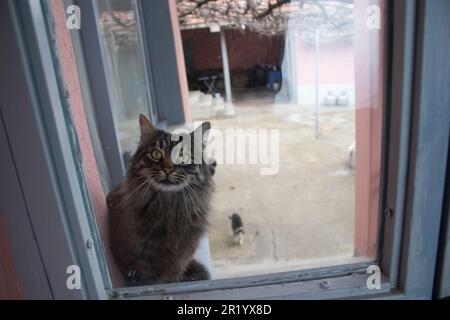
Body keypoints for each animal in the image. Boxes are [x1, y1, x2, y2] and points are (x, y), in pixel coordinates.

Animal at [108, 114, 215, 284]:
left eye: (182, 155)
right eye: (156, 154)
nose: (167, 169)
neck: (169, 206)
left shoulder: (181, 259)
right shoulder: (139, 265)